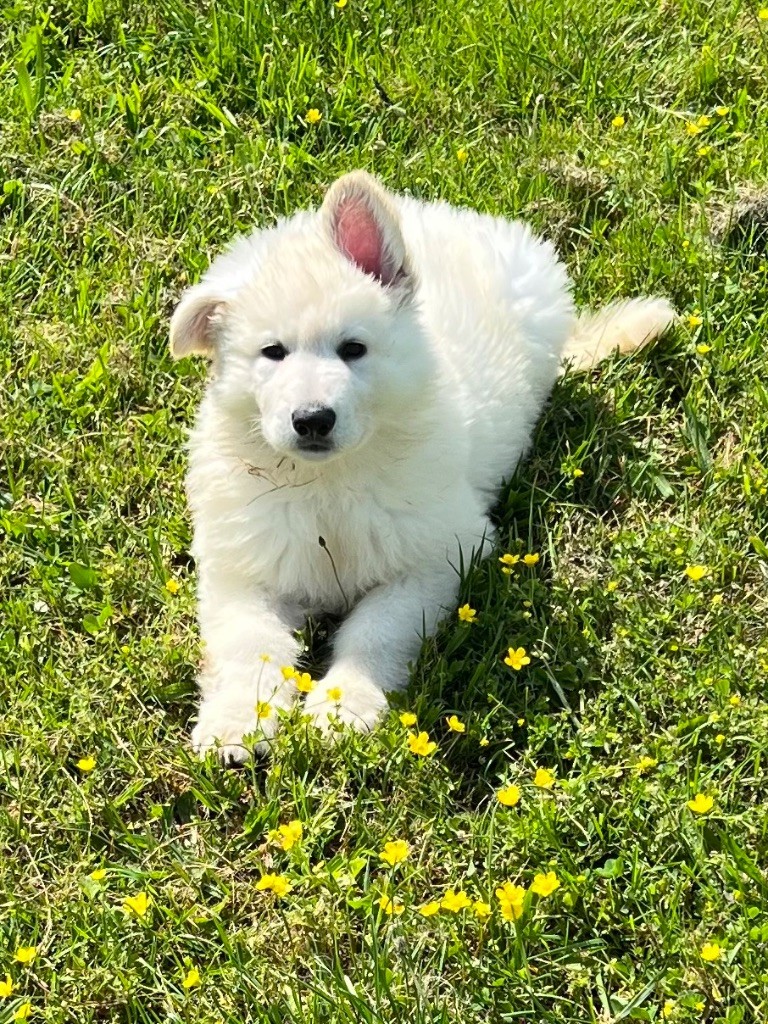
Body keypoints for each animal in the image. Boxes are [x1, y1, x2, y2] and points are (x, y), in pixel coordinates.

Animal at [171, 169, 675, 761]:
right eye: (272, 352)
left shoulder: (436, 557)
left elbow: (376, 630)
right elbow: (249, 644)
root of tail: (451, 215)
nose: (313, 419)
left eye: (353, 349)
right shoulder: (243, 566)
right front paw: (237, 721)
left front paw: (342, 707)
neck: (329, 483)